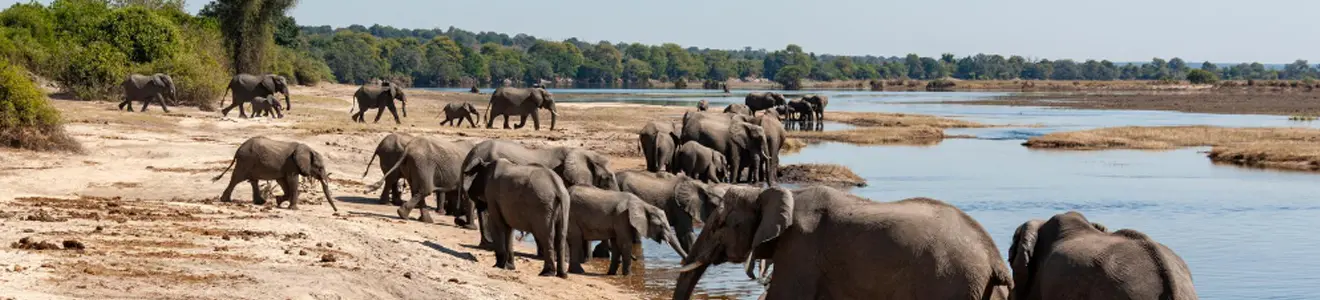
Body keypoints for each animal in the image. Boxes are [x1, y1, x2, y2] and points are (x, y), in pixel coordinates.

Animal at [208, 136, 337, 211]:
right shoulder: (291, 165)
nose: (336, 211)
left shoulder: (285, 167)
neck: (308, 149)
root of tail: (238, 149)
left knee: (253, 181)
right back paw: (225, 200)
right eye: (320, 168)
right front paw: (294, 209)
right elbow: (292, 181)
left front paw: (278, 201)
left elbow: (283, 181)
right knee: (236, 179)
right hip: (245, 161)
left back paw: (260, 203)